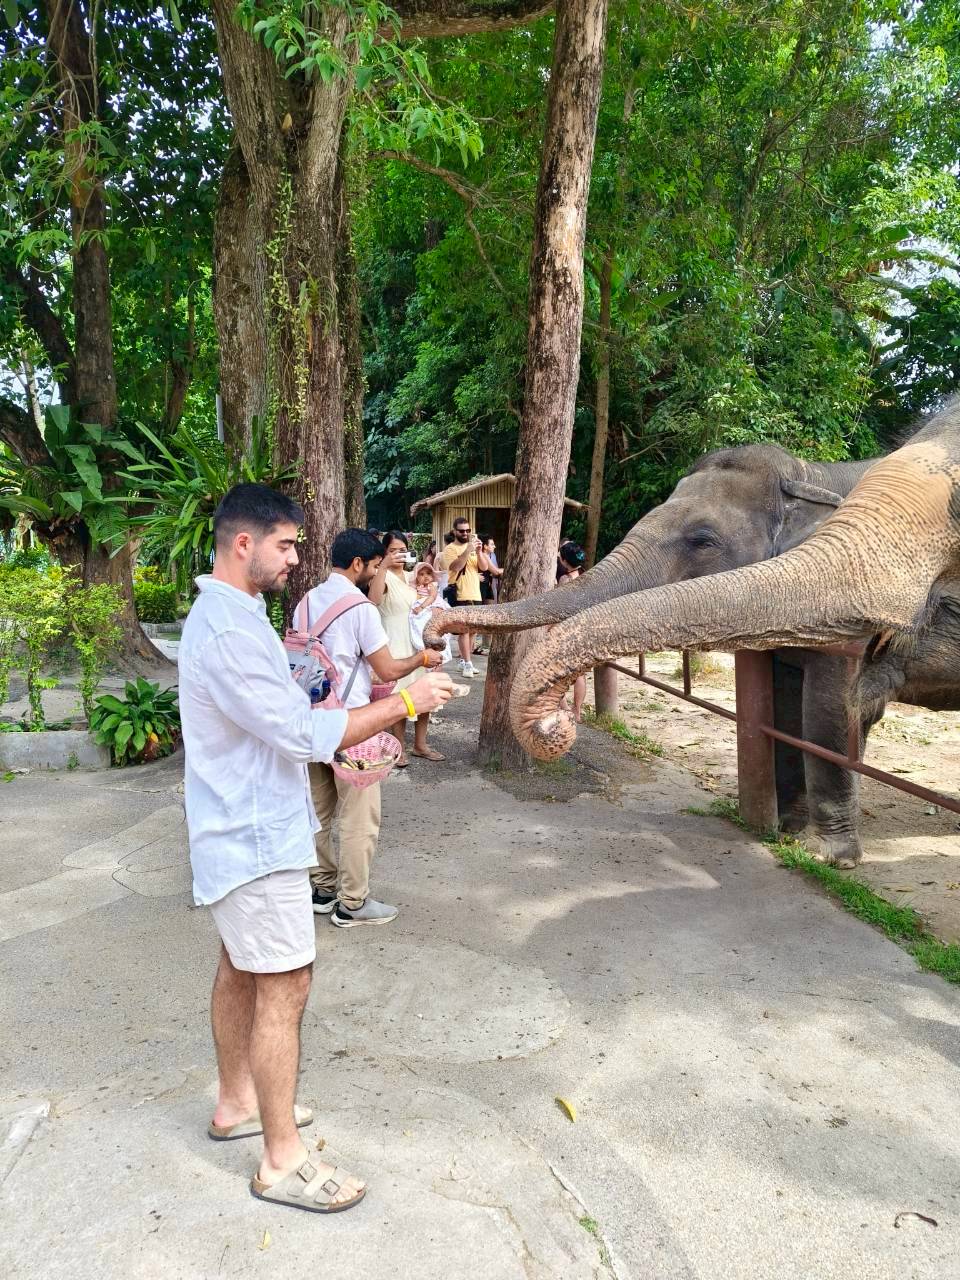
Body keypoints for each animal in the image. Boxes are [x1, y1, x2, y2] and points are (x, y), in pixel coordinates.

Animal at [426, 412, 960, 866]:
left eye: (703, 539)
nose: (435, 637)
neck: (812, 474)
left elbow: (830, 709)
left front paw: (827, 857)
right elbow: (786, 703)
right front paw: (786, 829)